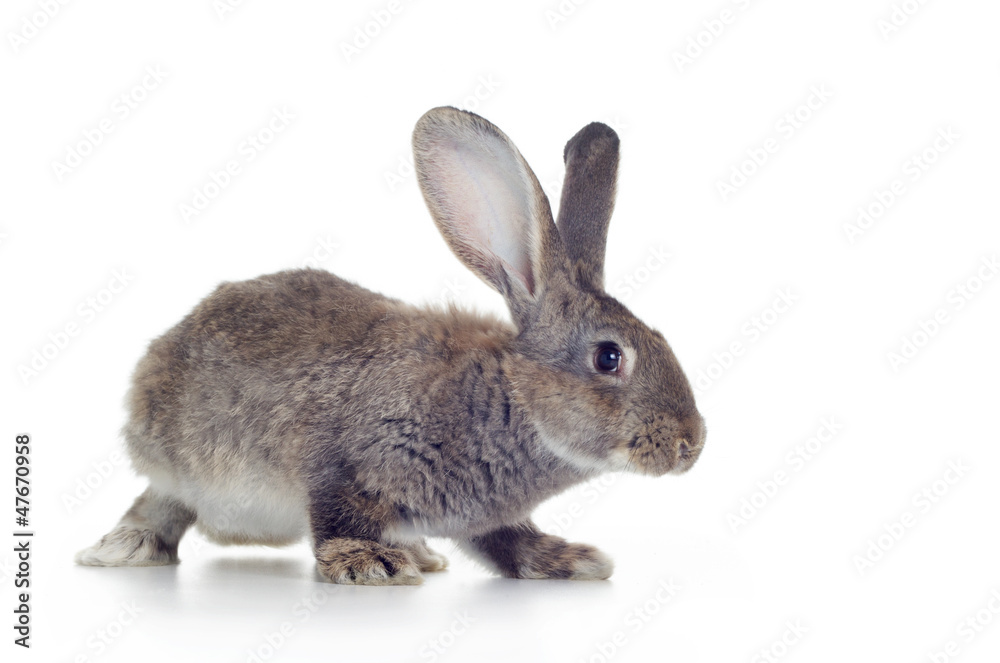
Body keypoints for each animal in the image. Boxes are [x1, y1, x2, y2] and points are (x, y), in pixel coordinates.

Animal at [75, 107, 706, 585]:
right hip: (178, 466)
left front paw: (568, 560)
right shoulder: (345, 462)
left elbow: (506, 543)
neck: (509, 400)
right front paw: (368, 563)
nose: (690, 445)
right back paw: (122, 548)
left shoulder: (485, 520)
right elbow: (338, 517)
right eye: (609, 357)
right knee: (160, 504)